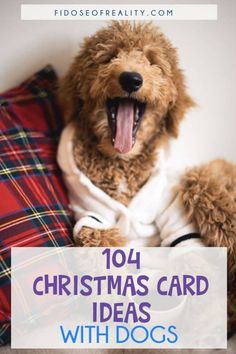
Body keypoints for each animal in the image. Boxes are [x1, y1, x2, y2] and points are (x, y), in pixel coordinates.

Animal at [58, 21, 235, 332]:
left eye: (153, 62)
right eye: (108, 57)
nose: (131, 79)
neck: (121, 164)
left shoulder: (174, 215)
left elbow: (192, 257)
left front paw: (208, 319)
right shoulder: (92, 218)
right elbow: (100, 251)